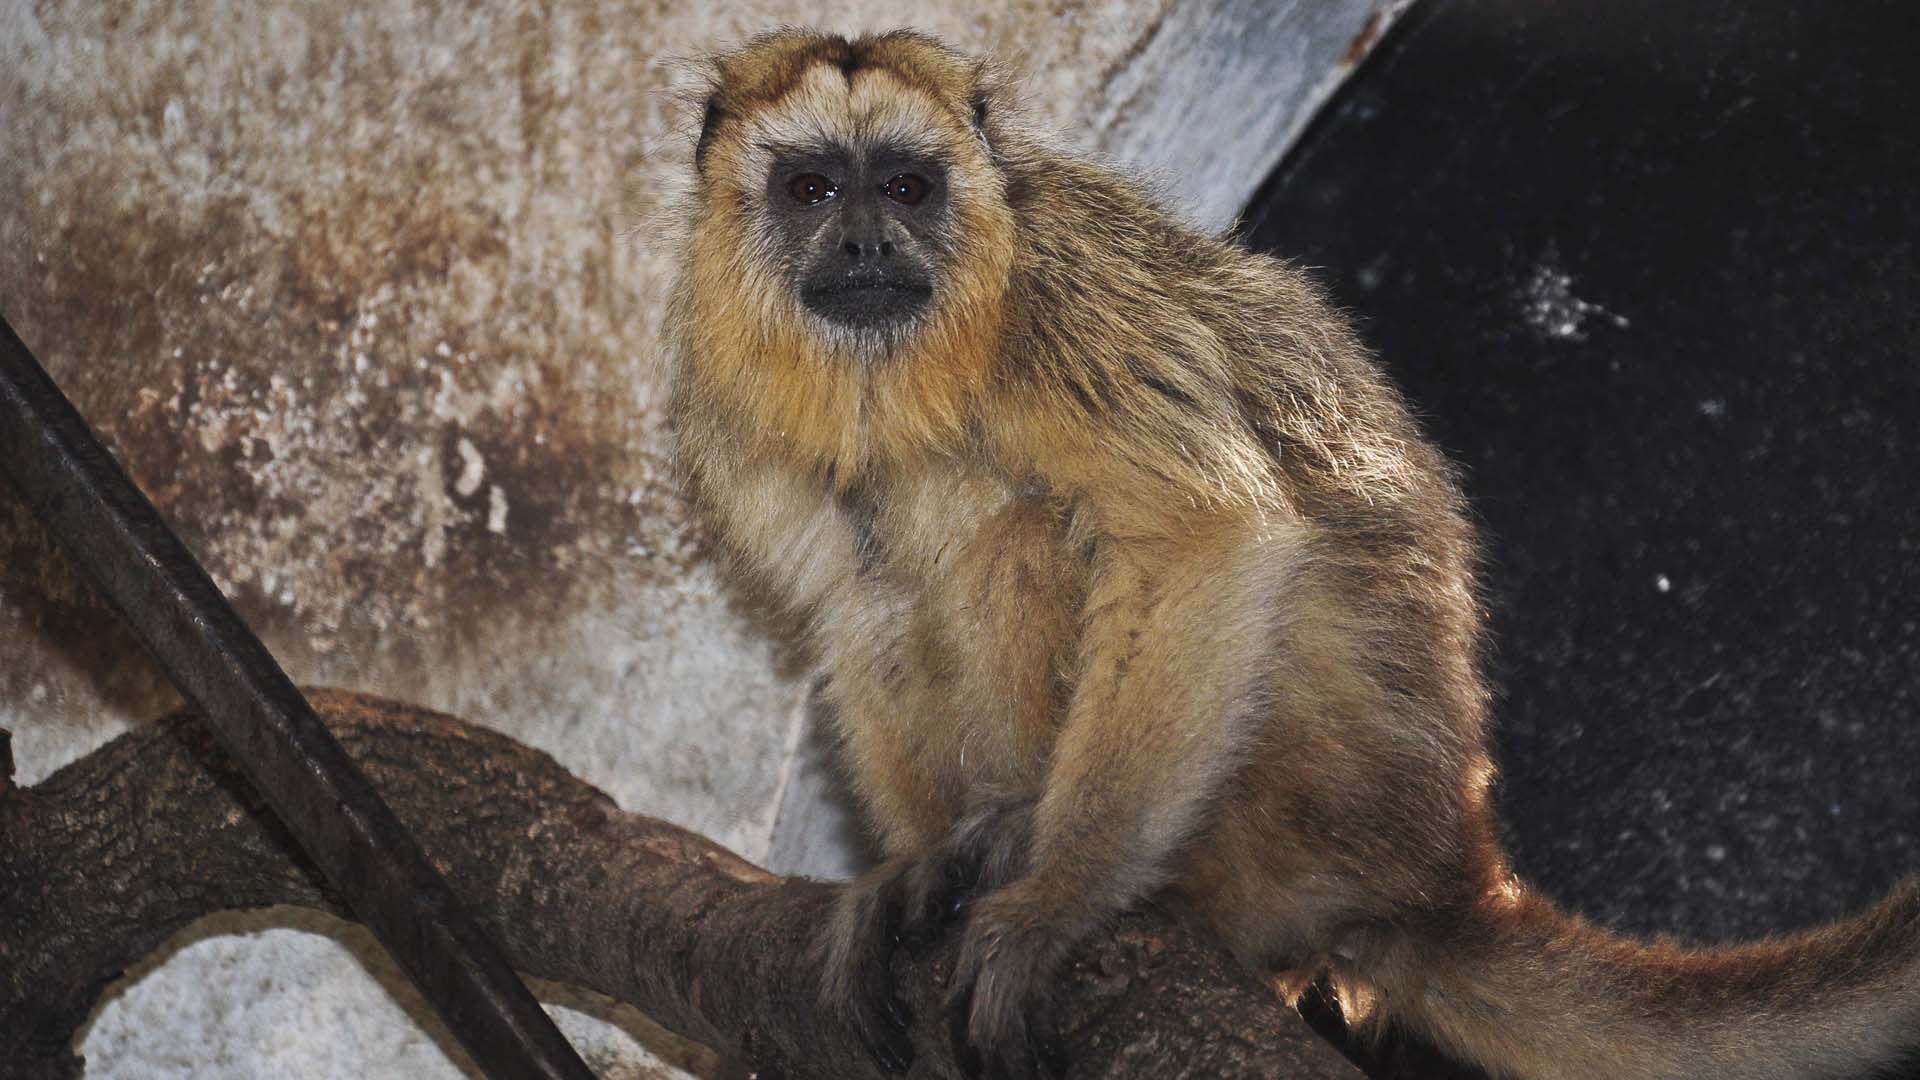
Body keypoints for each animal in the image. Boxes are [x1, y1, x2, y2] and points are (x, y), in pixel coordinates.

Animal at [660, 25, 1920, 1076]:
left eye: (909, 186)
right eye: (813, 188)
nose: (867, 239)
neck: (901, 374)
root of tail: (1436, 869)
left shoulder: (1061, 302)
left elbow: (1206, 537)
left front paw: (1059, 891)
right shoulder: (722, 398)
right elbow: (844, 607)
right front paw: (915, 869)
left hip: (1290, 809)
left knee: (1022, 521)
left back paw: (1045, 836)